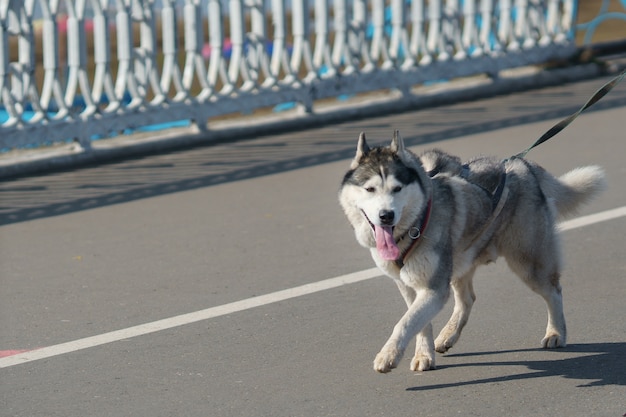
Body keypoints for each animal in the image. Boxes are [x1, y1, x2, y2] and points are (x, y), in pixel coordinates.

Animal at [336, 131, 604, 374]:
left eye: (397, 189)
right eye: (370, 189)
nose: (386, 215)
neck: (413, 227)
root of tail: (522, 164)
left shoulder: (434, 288)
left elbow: (406, 322)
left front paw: (388, 356)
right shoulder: (409, 286)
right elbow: (419, 322)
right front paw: (424, 355)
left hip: (528, 262)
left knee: (553, 291)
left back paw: (556, 333)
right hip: (461, 261)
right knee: (467, 299)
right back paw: (447, 335)